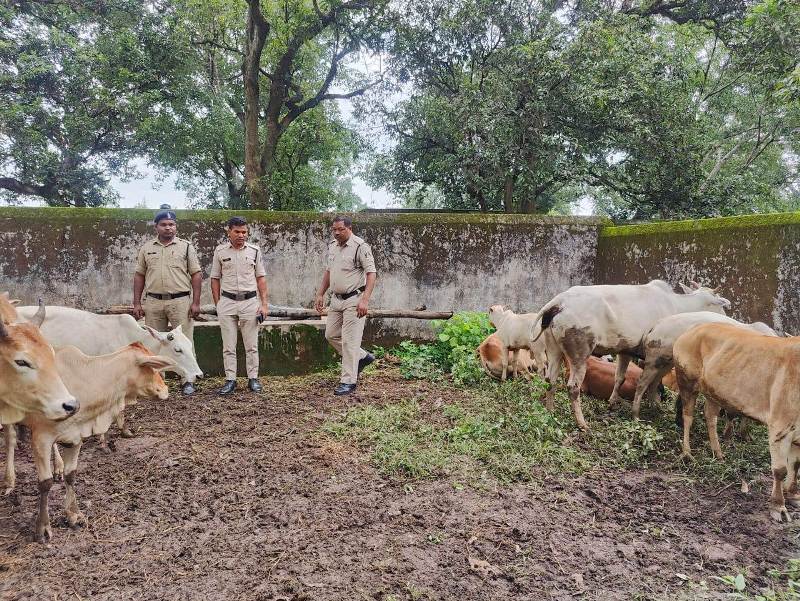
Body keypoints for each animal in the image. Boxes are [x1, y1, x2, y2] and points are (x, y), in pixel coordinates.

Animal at [4, 340, 173, 540]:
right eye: (151, 367)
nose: (165, 389)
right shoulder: (41, 438)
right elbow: (45, 483)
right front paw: (42, 527)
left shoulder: (76, 436)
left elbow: (71, 474)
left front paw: (74, 515)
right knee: (10, 440)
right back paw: (9, 480)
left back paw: (58, 466)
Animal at [528, 278, 728, 428]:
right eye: (720, 304)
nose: (726, 317)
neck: (680, 308)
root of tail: (559, 302)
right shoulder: (661, 357)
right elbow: (653, 383)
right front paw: (653, 405)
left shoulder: (625, 350)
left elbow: (620, 377)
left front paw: (612, 402)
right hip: (580, 352)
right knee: (573, 387)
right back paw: (582, 423)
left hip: (554, 348)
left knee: (550, 380)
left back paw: (550, 411)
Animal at [632, 312, 776, 420]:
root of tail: (654, 327)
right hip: (655, 360)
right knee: (642, 383)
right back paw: (636, 415)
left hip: (667, 362)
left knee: (654, 382)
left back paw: (656, 408)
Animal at [676, 322, 800, 524]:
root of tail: (694, 329)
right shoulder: (780, 427)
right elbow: (780, 470)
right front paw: (778, 506)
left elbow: (795, 466)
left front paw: (794, 495)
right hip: (686, 381)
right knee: (688, 416)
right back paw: (687, 452)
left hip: (713, 392)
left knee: (710, 416)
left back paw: (718, 453)